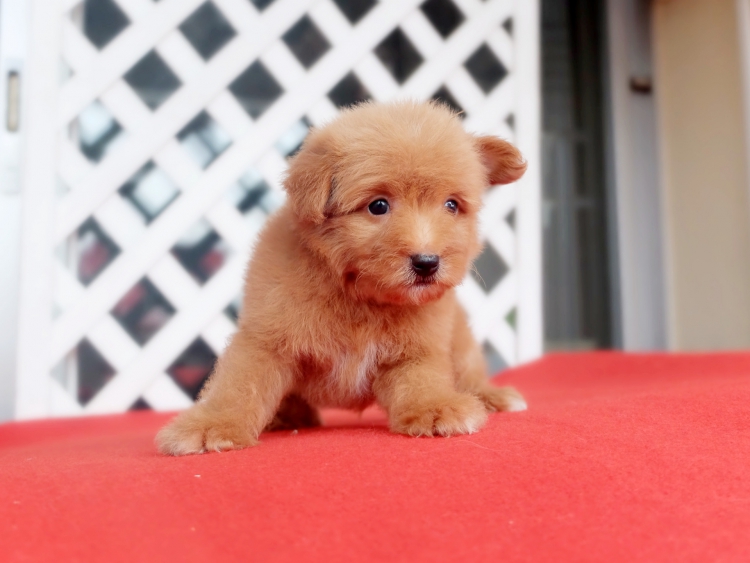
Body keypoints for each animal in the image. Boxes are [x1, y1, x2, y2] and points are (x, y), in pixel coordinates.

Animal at [156, 101, 527, 455]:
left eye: (451, 205)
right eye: (378, 205)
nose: (427, 262)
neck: (360, 294)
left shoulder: (418, 346)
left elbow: (422, 379)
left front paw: (436, 408)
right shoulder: (266, 337)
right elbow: (240, 384)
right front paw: (211, 426)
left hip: (460, 337)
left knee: (468, 368)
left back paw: (489, 396)